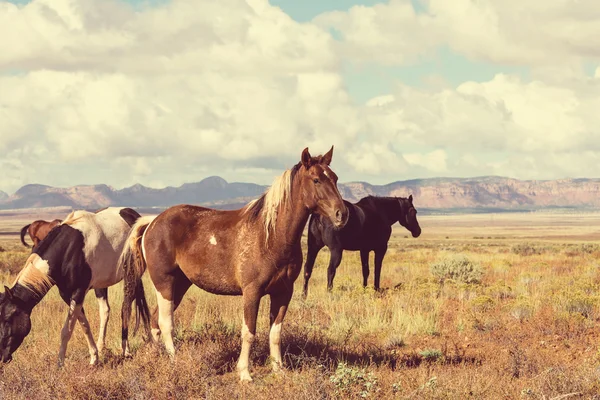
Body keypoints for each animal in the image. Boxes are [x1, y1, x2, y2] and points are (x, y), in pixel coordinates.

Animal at [0, 206, 149, 366]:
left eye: (8, 319)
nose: (2, 357)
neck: (67, 250)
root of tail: (133, 214)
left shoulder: (78, 293)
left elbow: (67, 330)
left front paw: (60, 363)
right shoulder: (67, 295)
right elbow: (84, 325)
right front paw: (94, 357)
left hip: (131, 276)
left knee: (126, 308)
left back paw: (127, 350)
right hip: (102, 284)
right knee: (106, 311)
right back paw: (104, 346)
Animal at [118, 147, 350, 382]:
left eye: (335, 178)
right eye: (316, 180)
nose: (342, 214)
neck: (271, 236)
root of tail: (152, 222)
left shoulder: (284, 292)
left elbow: (275, 333)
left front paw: (278, 369)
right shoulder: (252, 292)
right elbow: (248, 332)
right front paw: (245, 373)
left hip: (180, 285)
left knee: (155, 321)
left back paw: (158, 356)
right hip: (164, 283)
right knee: (166, 323)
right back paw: (174, 361)